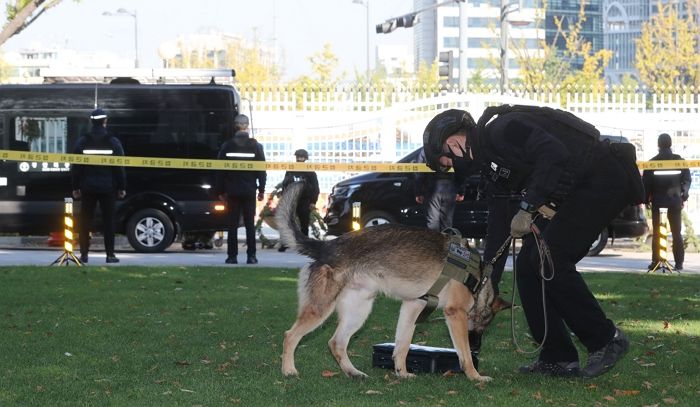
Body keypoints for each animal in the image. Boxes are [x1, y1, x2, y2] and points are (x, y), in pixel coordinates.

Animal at [276, 183, 500, 380]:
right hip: (321, 309)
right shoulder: (455, 314)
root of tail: (325, 246)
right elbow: (464, 354)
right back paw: (289, 371)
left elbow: (402, 345)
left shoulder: (412, 306)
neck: (479, 279)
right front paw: (475, 376)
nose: (477, 346)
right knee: (289, 335)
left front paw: (402, 373)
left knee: (336, 343)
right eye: (482, 325)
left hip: (358, 312)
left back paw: (353, 373)